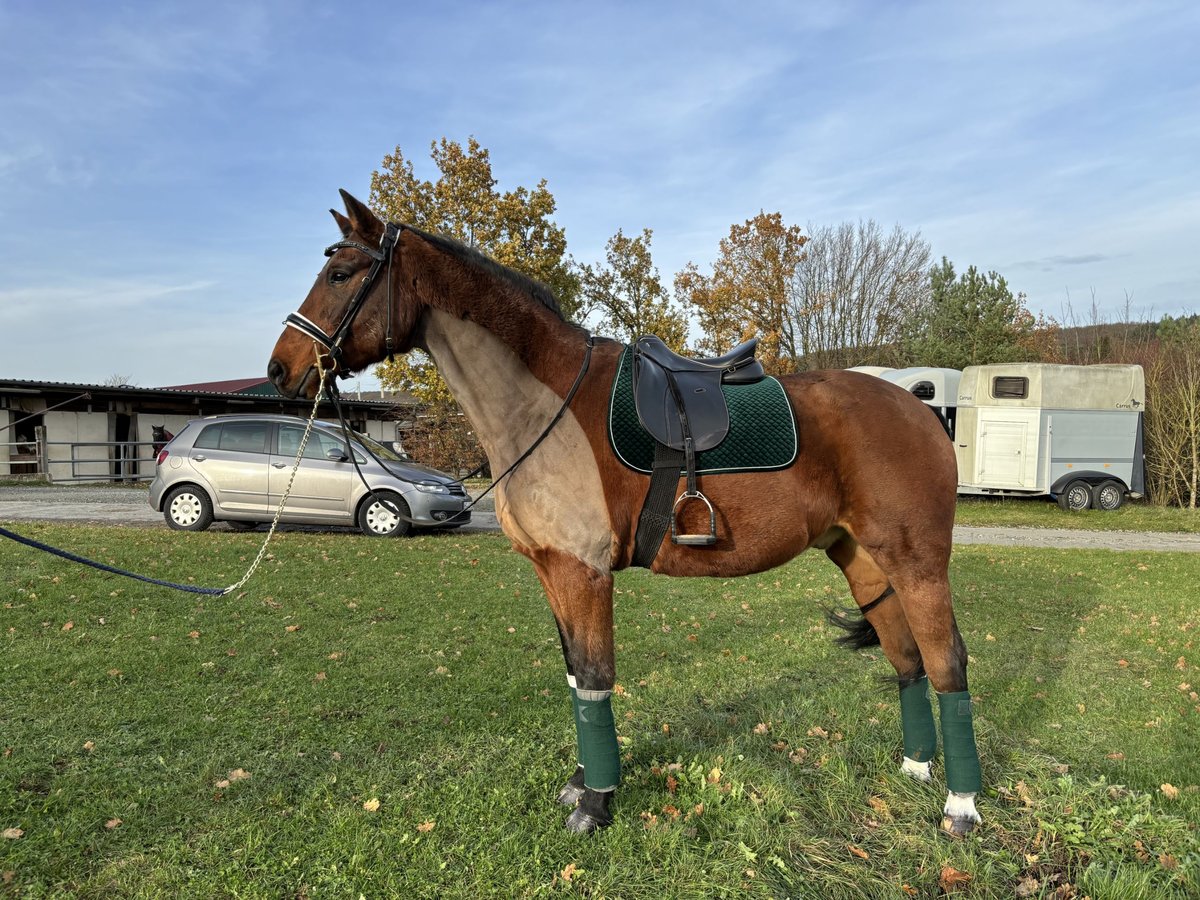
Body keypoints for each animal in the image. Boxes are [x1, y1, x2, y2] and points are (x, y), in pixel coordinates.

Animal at [267, 192, 979, 840]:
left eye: (340, 274)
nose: (281, 368)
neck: (545, 402)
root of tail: (920, 409)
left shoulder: (583, 571)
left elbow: (596, 677)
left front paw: (596, 804)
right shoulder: (552, 571)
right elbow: (575, 676)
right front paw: (583, 784)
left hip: (918, 564)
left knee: (947, 662)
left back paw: (960, 807)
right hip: (864, 561)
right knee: (907, 657)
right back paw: (916, 769)